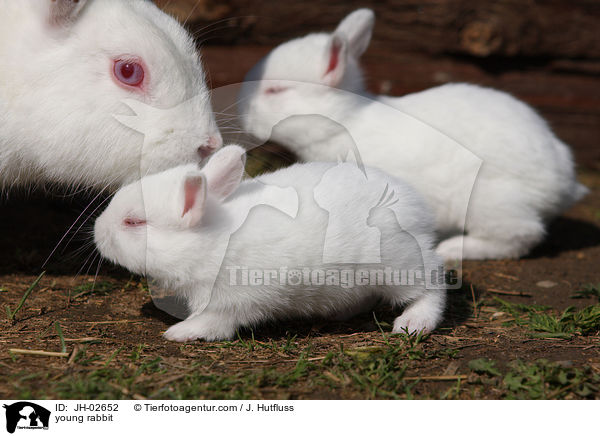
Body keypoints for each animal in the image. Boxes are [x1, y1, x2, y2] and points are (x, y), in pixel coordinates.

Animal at [95, 145, 446, 342]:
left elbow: (216, 323)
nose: (97, 231)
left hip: (400, 264)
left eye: (133, 222)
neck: (212, 239)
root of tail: (417, 206)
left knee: (433, 286)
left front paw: (181, 333)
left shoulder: (233, 300)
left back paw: (413, 324)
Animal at [237, 8, 588, 260]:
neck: (344, 120)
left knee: (522, 235)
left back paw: (454, 248)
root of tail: (563, 183)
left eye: (275, 90)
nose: (241, 112)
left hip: (490, 203)